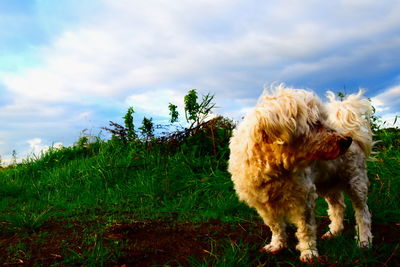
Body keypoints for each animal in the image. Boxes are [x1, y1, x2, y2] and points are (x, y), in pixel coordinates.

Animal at [230, 85, 374, 262]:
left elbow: (306, 228)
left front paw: (309, 252)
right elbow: (275, 226)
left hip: (356, 182)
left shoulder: (303, 198)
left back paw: (364, 240)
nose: (346, 141)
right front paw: (277, 244)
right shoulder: (263, 203)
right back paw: (334, 232)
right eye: (315, 123)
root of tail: (349, 130)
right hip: (328, 183)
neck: (275, 167)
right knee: (338, 207)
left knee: (363, 213)